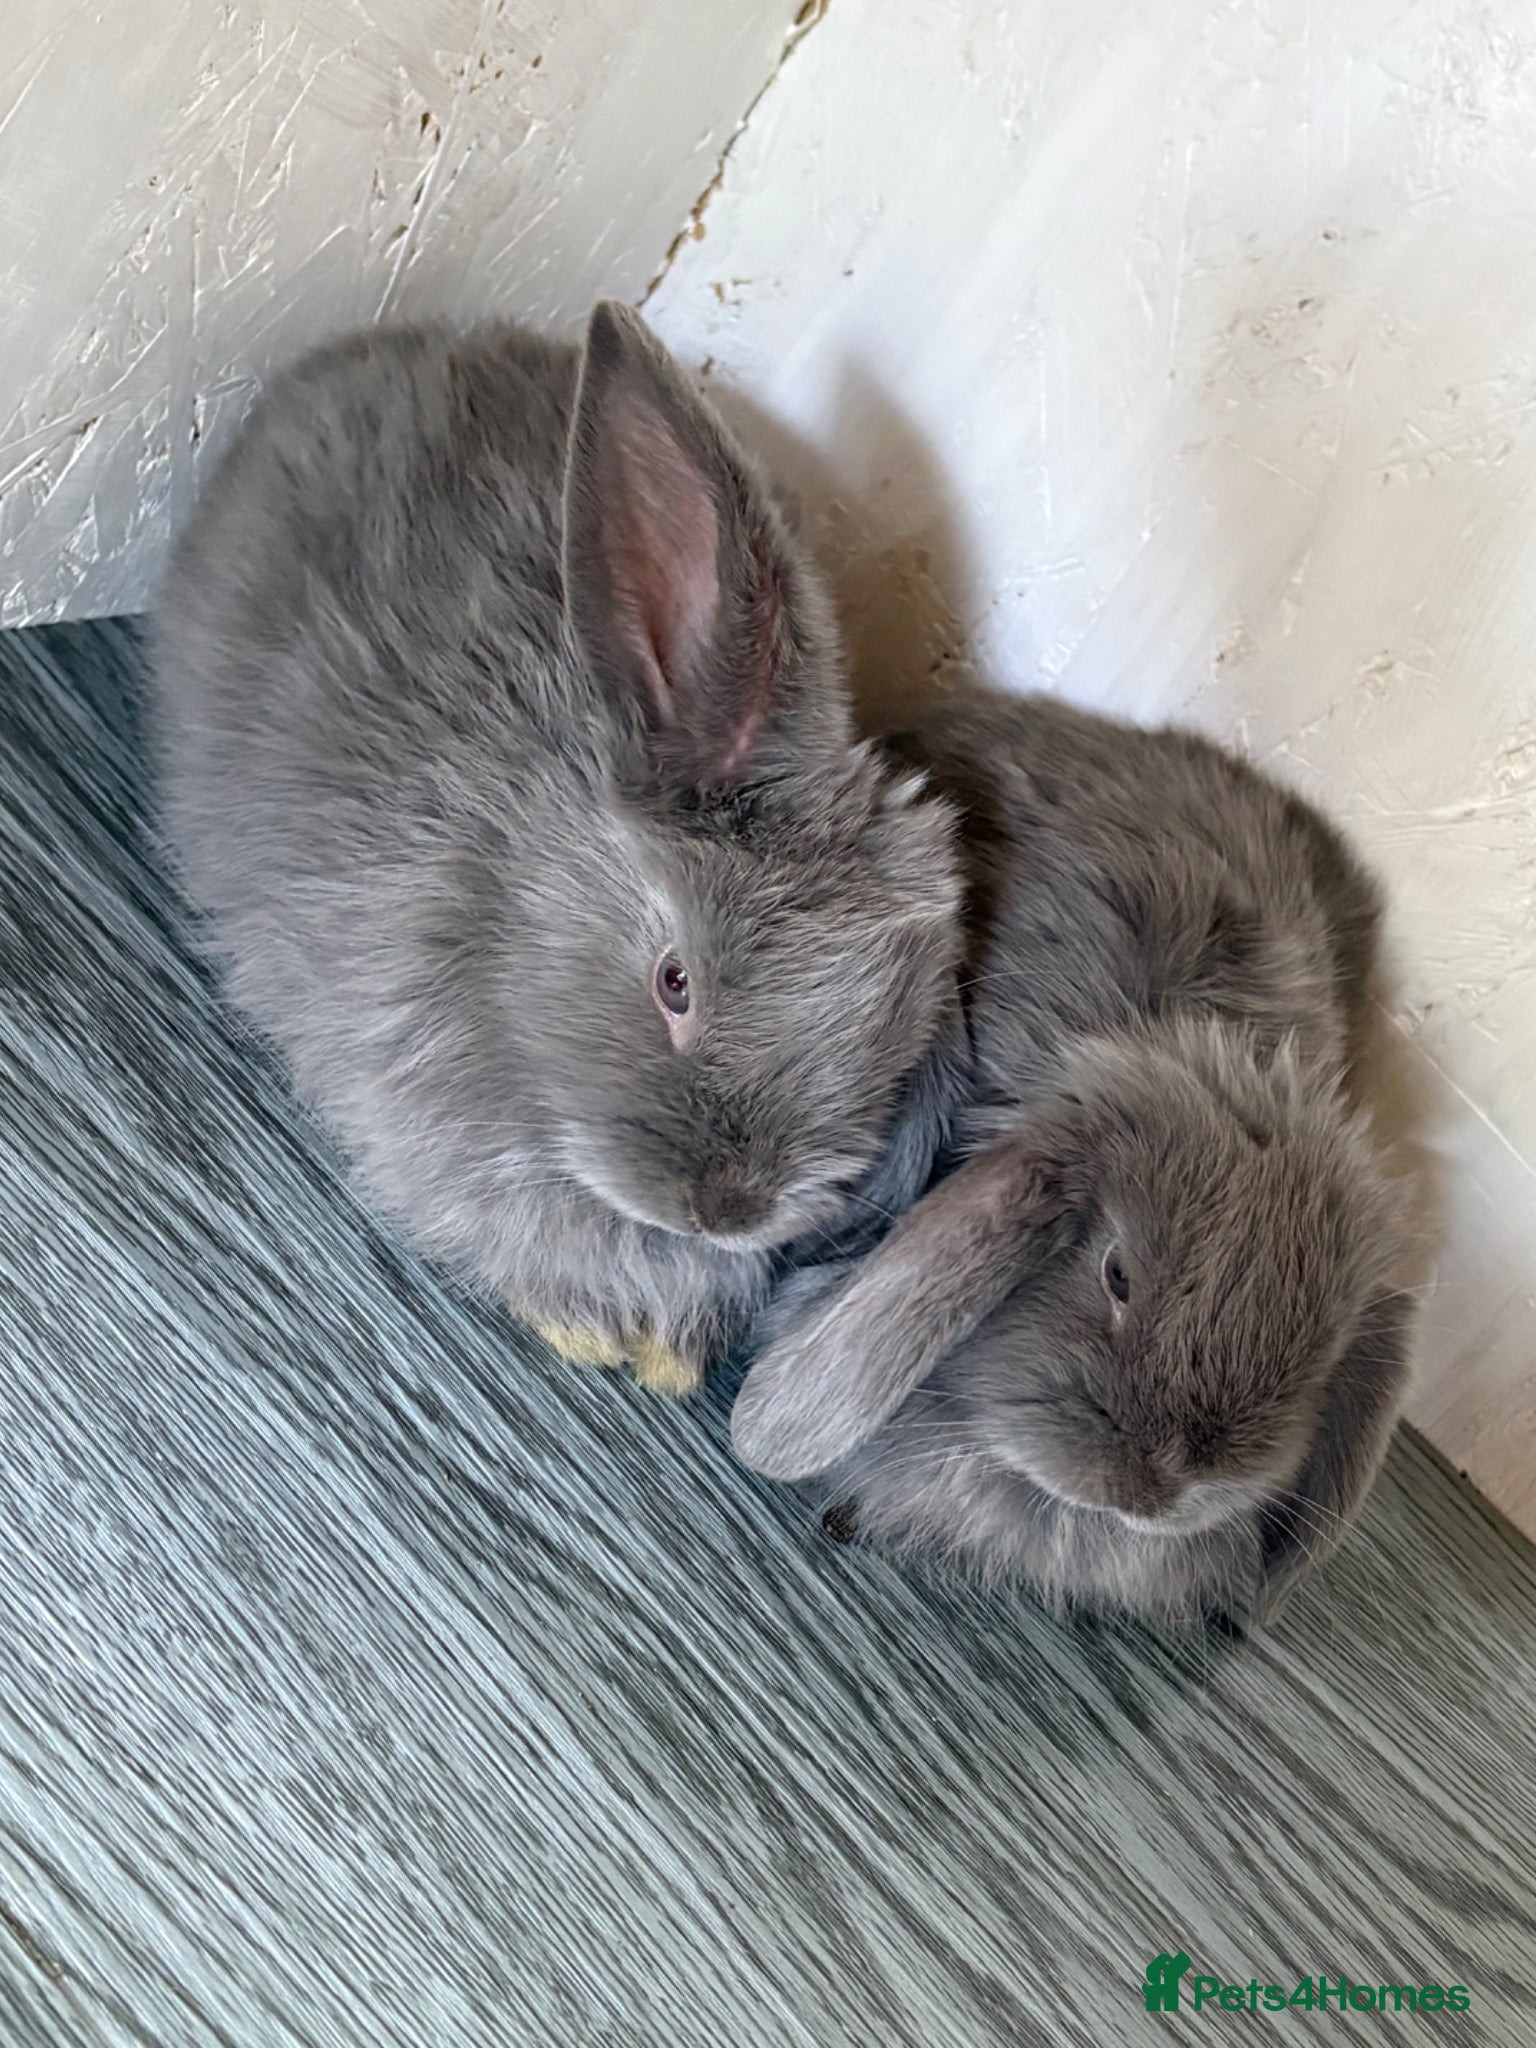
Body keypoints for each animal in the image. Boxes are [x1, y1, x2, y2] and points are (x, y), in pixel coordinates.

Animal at [151, 303, 967, 1396]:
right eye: (674, 982)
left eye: (892, 1025)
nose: (728, 1207)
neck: (515, 916)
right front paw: (589, 1329)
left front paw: (664, 1353)